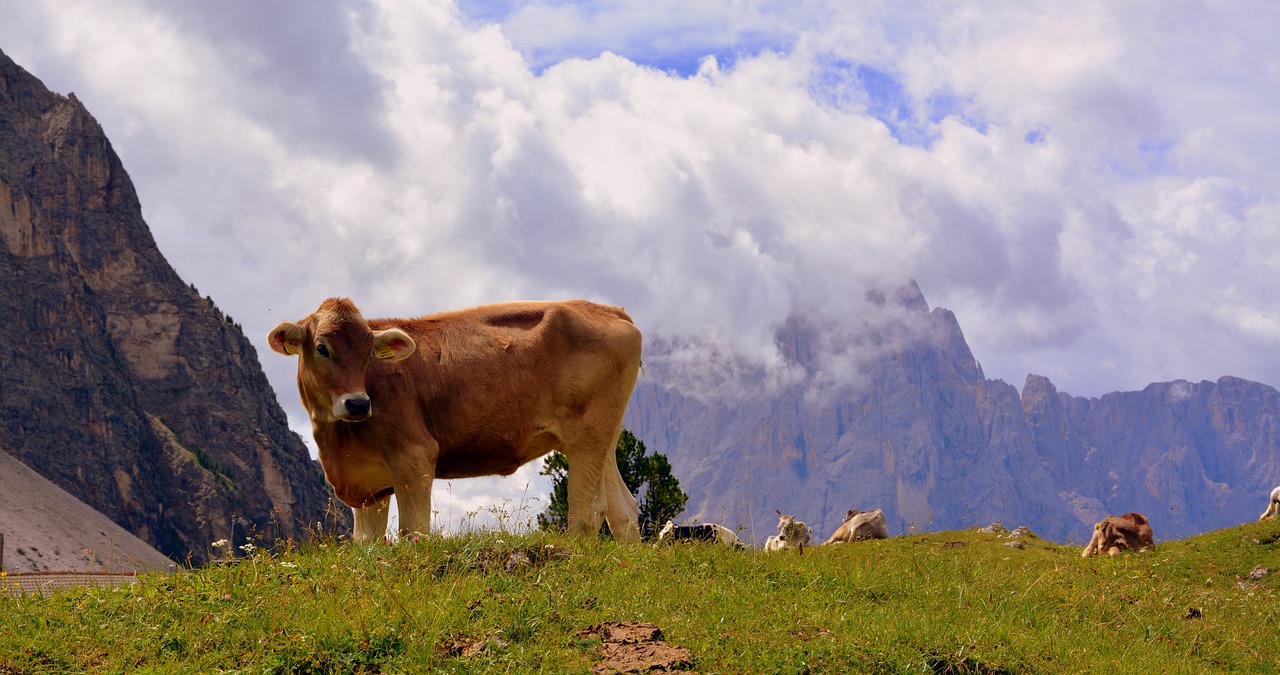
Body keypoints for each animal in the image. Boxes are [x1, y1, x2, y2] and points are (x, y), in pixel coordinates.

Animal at [271, 298, 650, 545]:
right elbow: (366, 544)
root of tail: (607, 309)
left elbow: (413, 531)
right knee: (624, 510)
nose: (359, 403)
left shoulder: (414, 457)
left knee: (587, 511)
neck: (337, 442)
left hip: (586, 436)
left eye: (368, 354)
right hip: (605, 437)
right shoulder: (369, 486)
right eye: (322, 348)